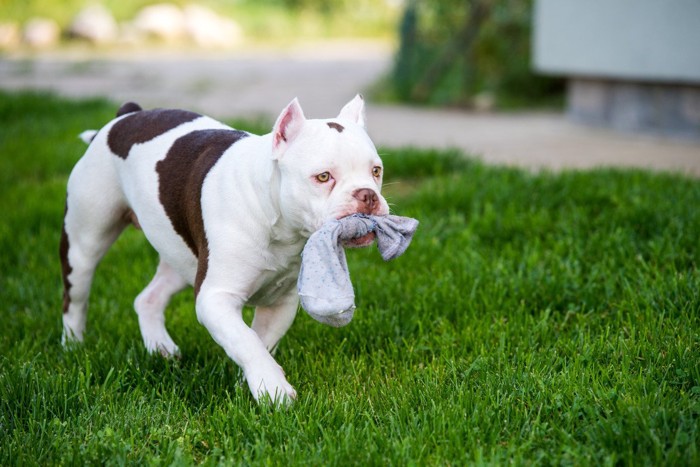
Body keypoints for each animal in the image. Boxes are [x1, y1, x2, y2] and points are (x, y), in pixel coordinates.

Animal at [59, 94, 388, 402]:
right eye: (323, 177)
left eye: (376, 171)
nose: (367, 195)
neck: (278, 223)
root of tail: (125, 116)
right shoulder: (215, 299)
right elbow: (247, 341)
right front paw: (275, 392)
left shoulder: (279, 304)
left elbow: (259, 341)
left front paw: (253, 386)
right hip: (83, 244)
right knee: (75, 297)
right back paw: (73, 346)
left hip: (182, 257)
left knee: (148, 298)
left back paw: (160, 348)